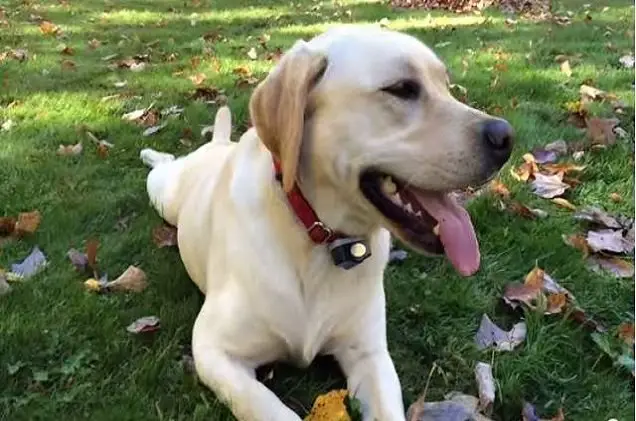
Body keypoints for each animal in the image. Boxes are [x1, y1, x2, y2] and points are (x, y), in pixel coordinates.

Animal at [139, 25, 512, 420]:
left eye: (446, 85)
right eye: (402, 88)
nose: (506, 137)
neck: (321, 240)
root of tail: (220, 147)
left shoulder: (369, 353)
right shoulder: (213, 349)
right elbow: (273, 411)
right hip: (165, 195)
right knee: (164, 166)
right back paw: (152, 154)